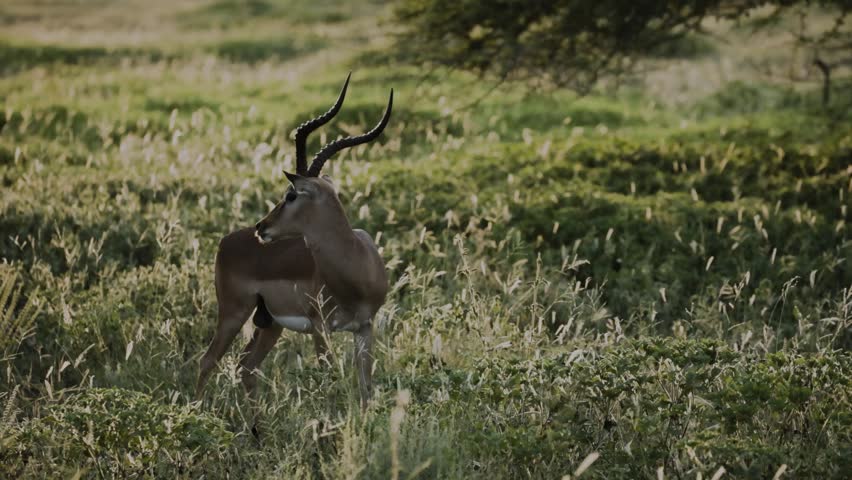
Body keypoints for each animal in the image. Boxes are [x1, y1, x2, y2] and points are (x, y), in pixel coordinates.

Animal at [195, 74, 392, 424]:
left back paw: (257, 432)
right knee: (208, 361)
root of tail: (226, 240)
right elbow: (330, 381)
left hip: (269, 324)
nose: (262, 226)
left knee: (246, 367)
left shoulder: (365, 327)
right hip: (234, 313)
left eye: (290, 196)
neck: (357, 268)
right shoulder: (320, 329)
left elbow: (365, 387)